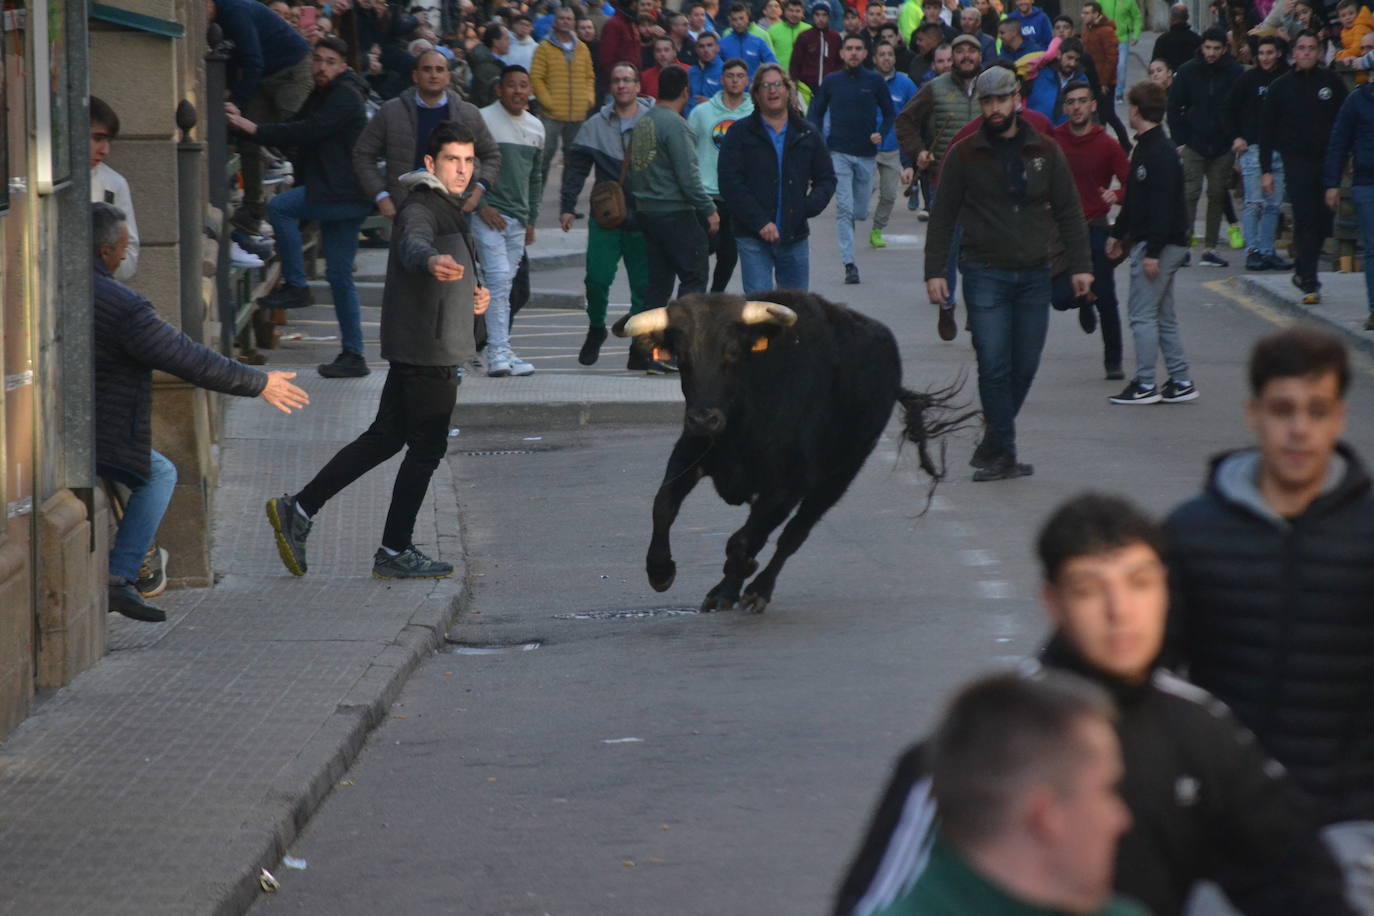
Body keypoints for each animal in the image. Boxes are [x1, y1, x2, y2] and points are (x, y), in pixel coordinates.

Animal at [612, 289, 978, 612]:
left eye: (733, 353)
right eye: (682, 357)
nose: (704, 418)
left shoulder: (788, 486)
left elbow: (744, 541)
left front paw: (738, 574)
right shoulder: (690, 452)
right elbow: (664, 505)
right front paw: (660, 571)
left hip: (840, 475)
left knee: (794, 534)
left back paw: (757, 590)